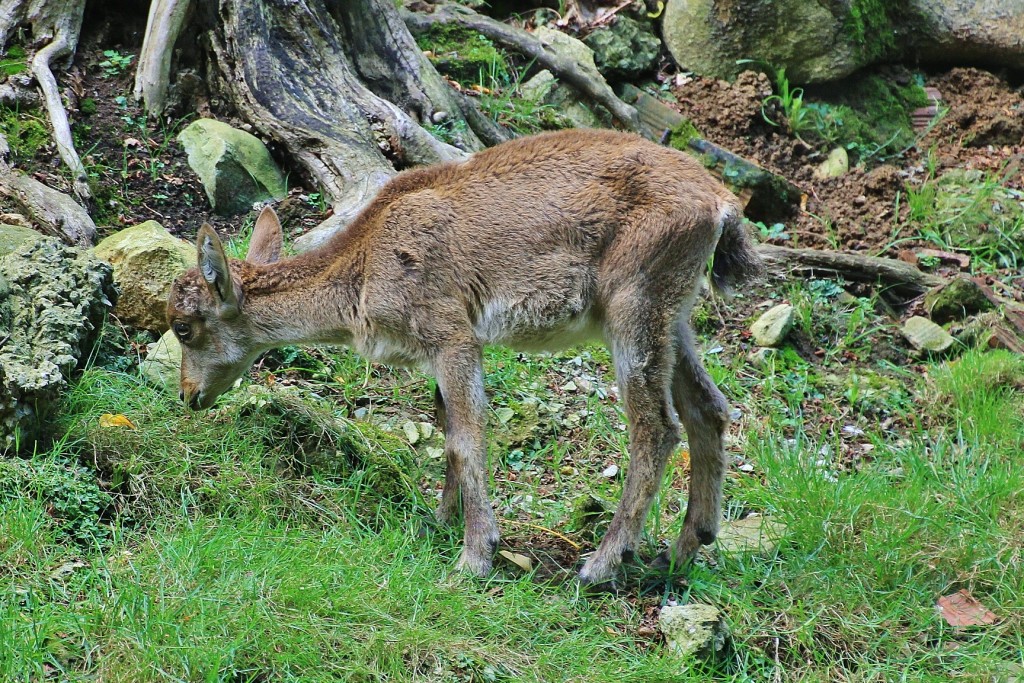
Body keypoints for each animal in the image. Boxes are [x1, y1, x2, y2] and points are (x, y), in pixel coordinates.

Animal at [165, 127, 761, 581]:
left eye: (183, 328)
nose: (189, 394)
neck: (364, 268)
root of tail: (720, 205)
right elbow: (447, 431)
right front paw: (439, 521)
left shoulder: (451, 332)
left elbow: (468, 437)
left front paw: (474, 557)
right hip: (673, 315)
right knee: (709, 408)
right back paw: (682, 553)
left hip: (633, 307)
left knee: (656, 428)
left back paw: (602, 564)